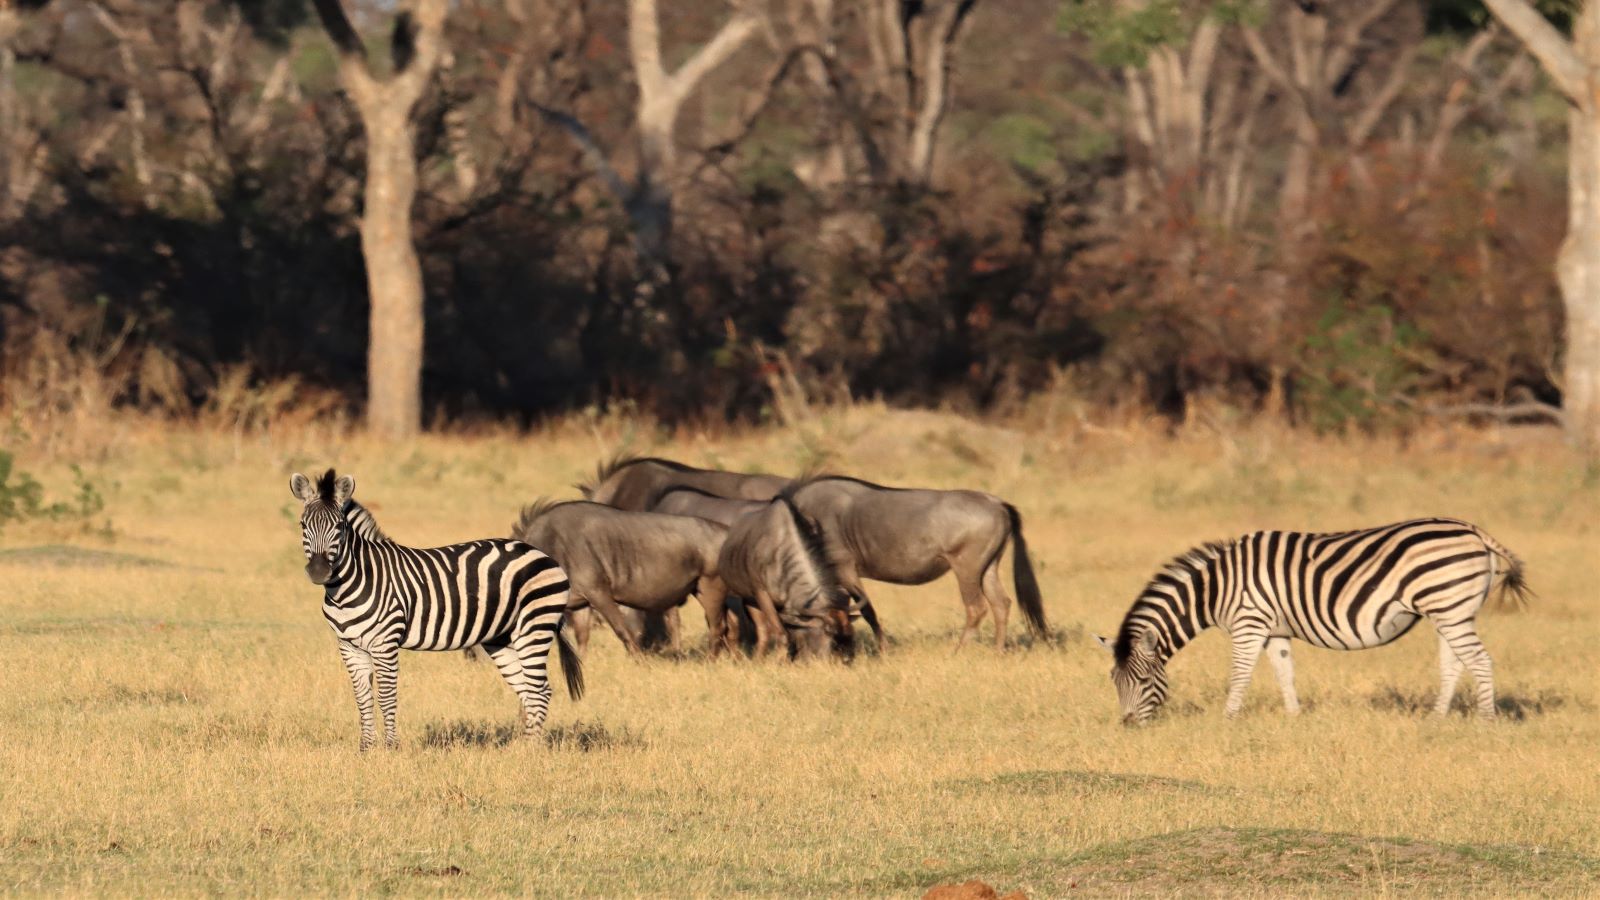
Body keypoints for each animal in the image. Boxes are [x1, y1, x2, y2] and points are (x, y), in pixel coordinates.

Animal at [291, 464, 585, 746]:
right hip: (501, 637)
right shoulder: (349, 646)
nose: (318, 571)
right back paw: (518, 748)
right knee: (527, 690)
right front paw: (365, 749)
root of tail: (539, 553)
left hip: (534, 627)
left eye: (339, 527)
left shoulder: (385, 643)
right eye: (303, 525)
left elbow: (386, 696)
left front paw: (390, 748)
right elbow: (362, 698)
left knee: (540, 691)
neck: (350, 586)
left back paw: (529, 751)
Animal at [1094, 518, 1529, 720]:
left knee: (1480, 661)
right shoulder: (1274, 631)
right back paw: (1437, 718)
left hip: (1450, 610)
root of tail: (1474, 531)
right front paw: (1294, 717)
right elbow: (1284, 673)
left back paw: (1486, 720)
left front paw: (1227, 718)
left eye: (1144, 681)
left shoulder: (1249, 623)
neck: (1216, 587)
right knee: (1454, 664)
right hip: (1449, 612)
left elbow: (1239, 674)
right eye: (1114, 681)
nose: (1128, 725)